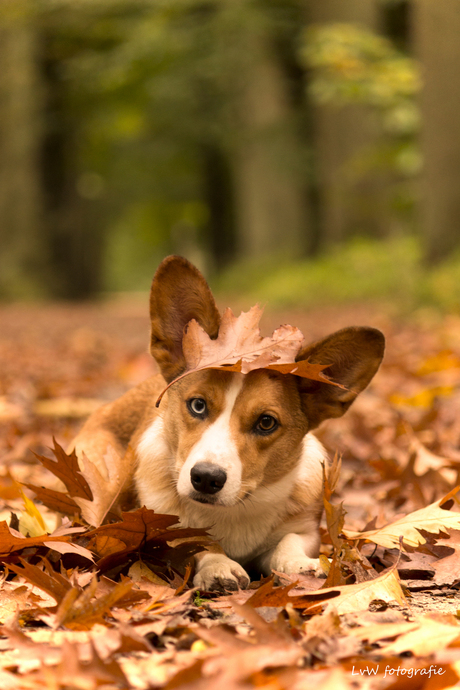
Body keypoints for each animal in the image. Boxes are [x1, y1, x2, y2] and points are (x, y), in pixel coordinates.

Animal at [73, 255, 384, 588]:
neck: (234, 511)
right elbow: (198, 542)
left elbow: (289, 542)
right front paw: (218, 566)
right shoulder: (165, 530)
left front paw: (299, 564)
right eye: (198, 405)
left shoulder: (304, 529)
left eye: (266, 423)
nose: (206, 478)